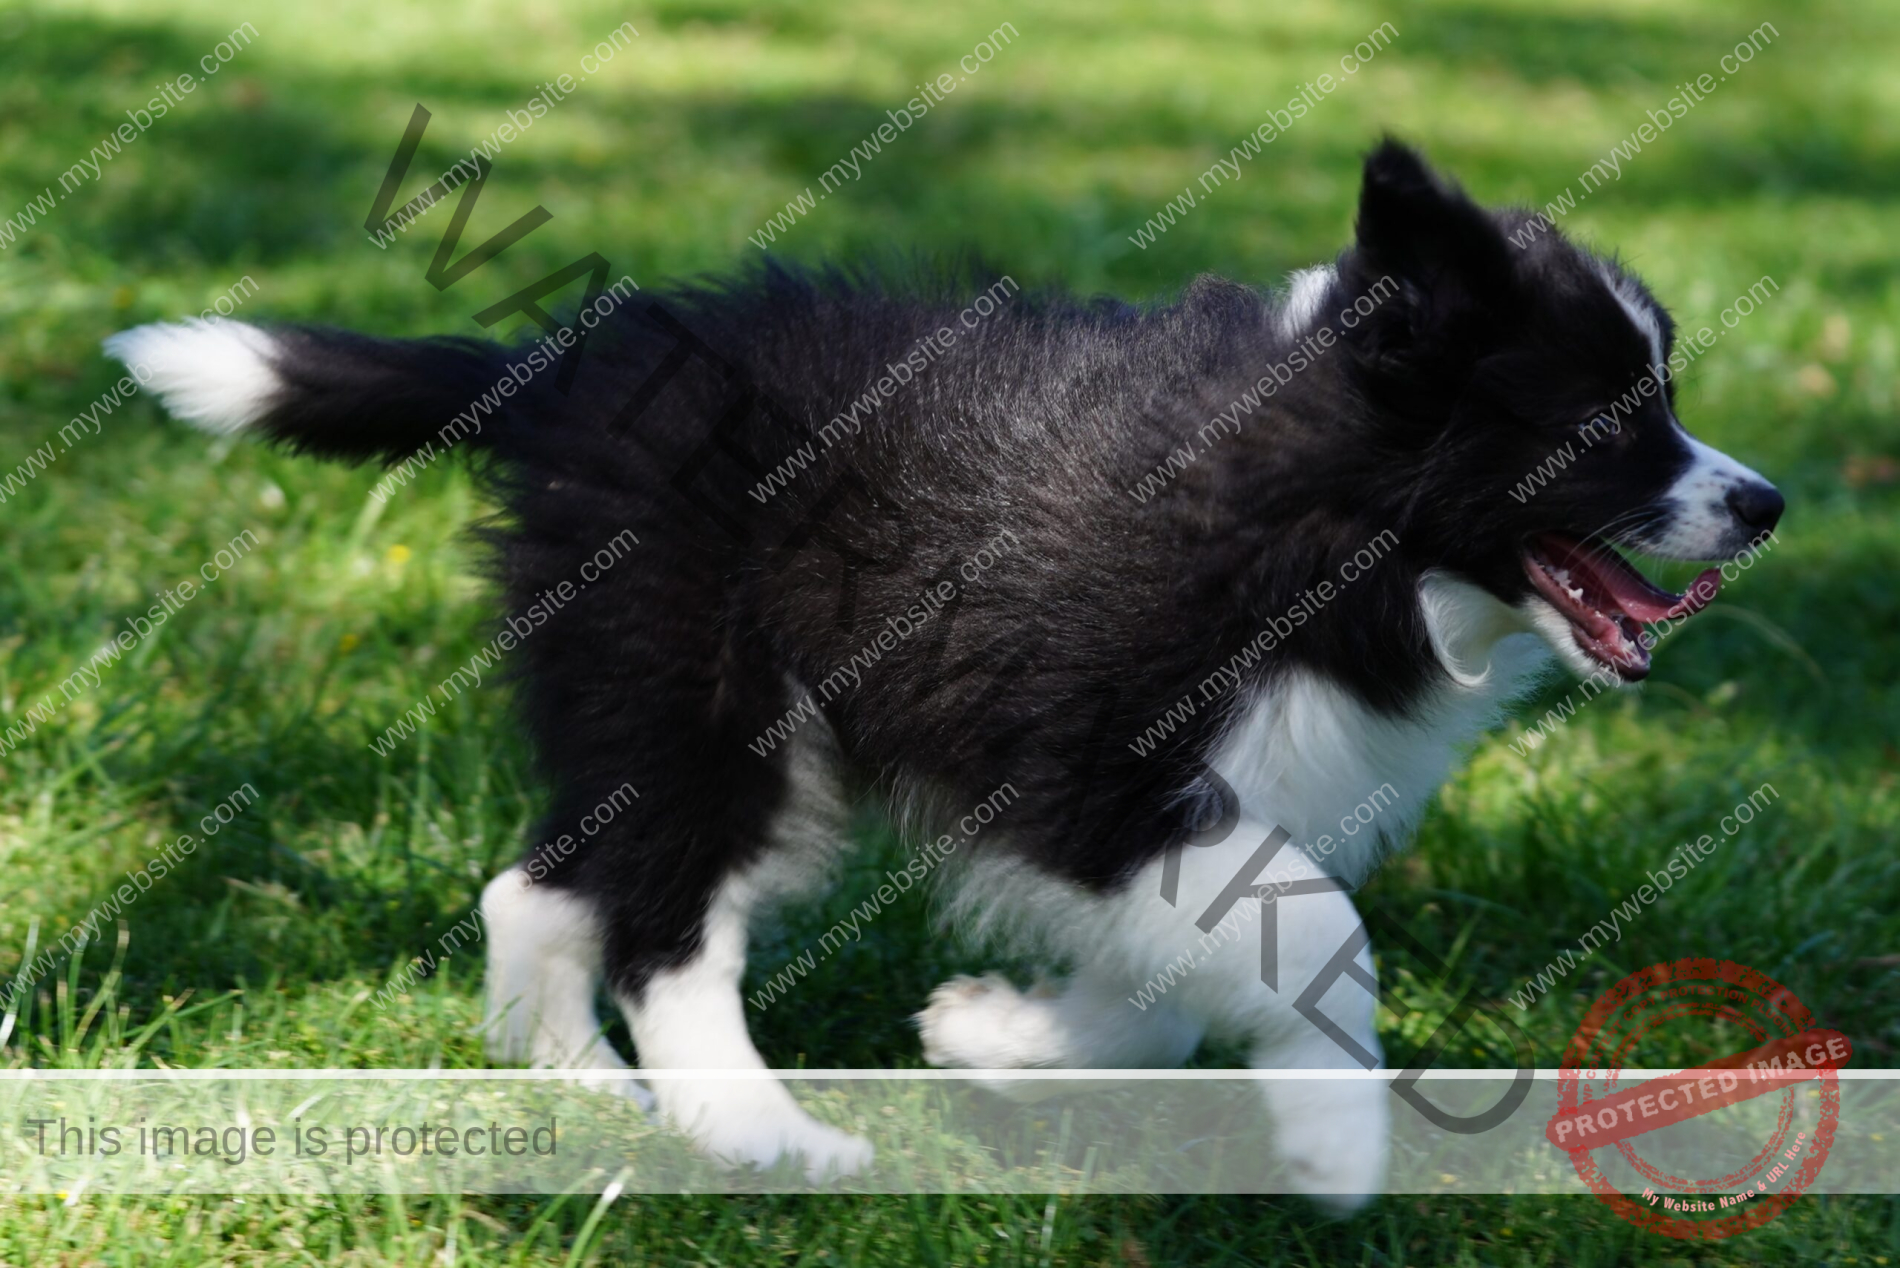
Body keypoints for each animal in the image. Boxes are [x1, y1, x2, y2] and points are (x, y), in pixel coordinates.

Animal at [107, 143, 1778, 1209]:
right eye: (1608, 421)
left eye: (1669, 398)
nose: (1763, 503)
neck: (1323, 522)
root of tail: (580, 364)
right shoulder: (1081, 753)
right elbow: (1319, 925)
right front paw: (1334, 1149)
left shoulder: (1170, 811)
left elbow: (1178, 983)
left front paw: (1004, 1039)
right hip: (714, 692)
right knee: (665, 929)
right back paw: (760, 1137)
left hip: (691, 718)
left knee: (546, 883)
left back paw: (584, 1094)